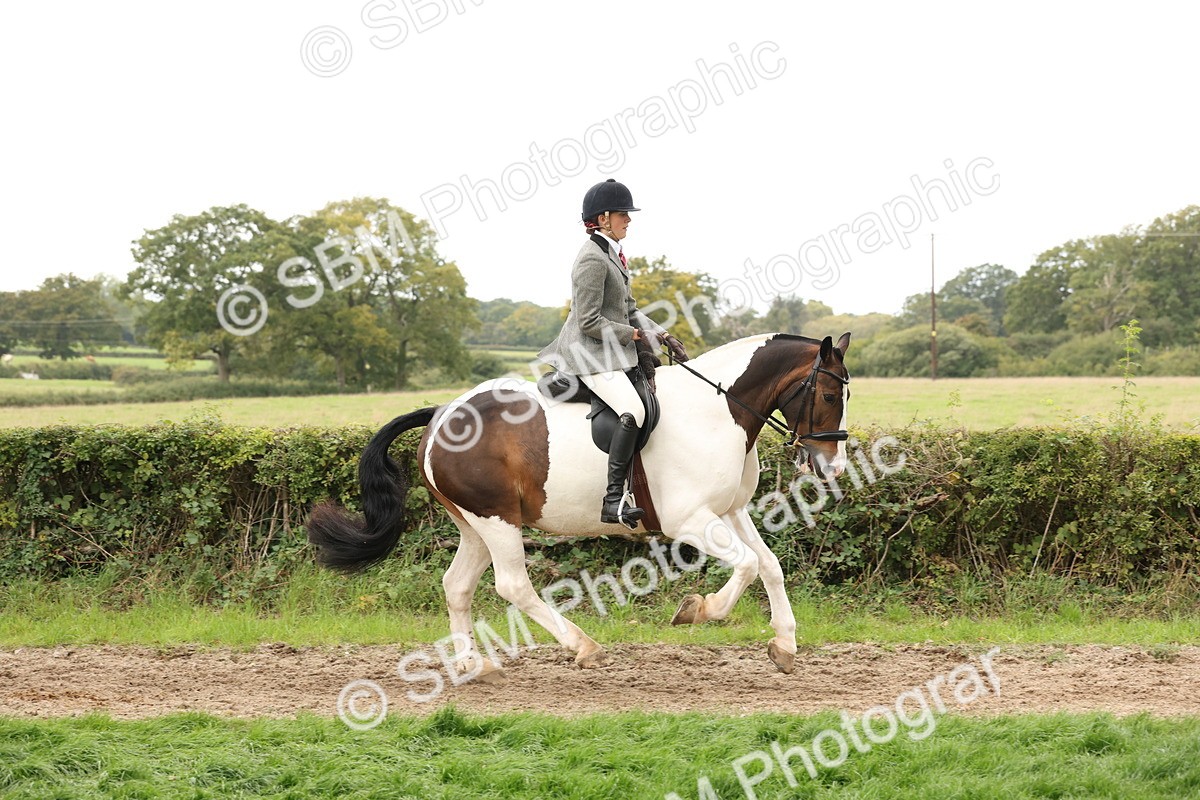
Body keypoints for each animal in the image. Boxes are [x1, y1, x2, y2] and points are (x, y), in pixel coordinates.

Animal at [307, 332, 851, 677]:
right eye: (828, 395)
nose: (834, 468)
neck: (717, 410)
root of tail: (443, 412)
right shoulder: (689, 519)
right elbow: (745, 567)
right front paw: (698, 609)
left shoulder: (729, 512)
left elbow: (769, 565)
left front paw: (784, 645)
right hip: (498, 520)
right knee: (512, 586)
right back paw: (582, 646)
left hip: (476, 525)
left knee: (457, 585)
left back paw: (470, 665)